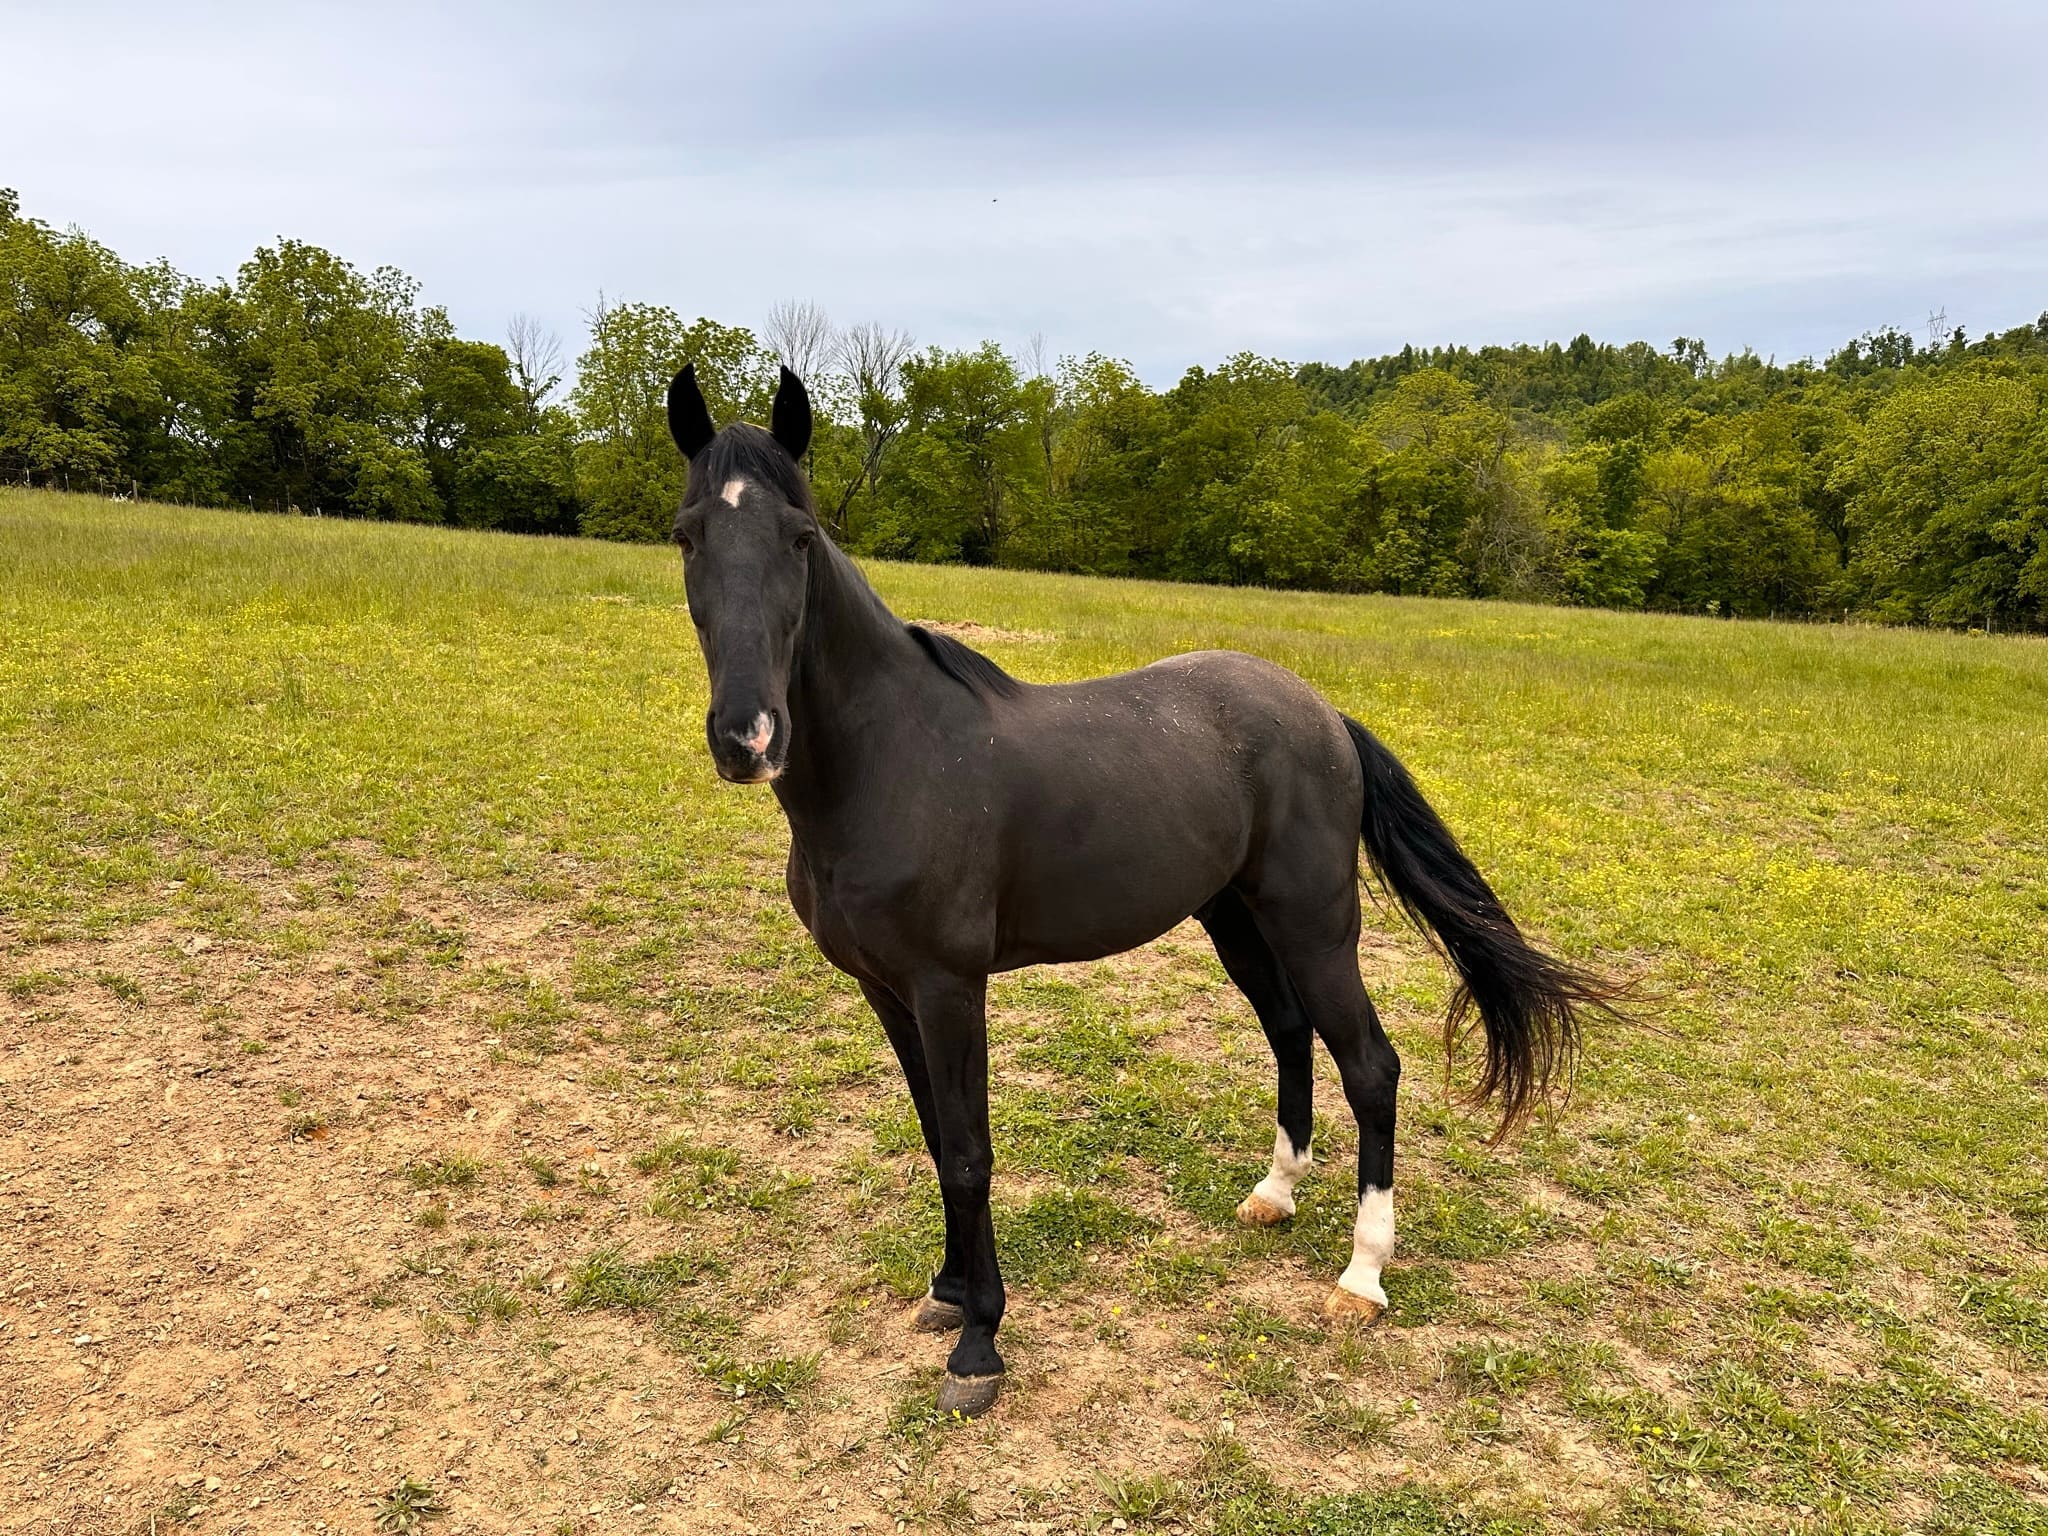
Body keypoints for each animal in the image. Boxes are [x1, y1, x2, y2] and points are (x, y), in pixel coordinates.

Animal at [663, 363, 1618, 1418]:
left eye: (800, 537)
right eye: (687, 534)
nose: (747, 737)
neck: (893, 758)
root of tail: (1322, 713)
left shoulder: (950, 988)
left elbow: (969, 1150)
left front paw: (980, 1343)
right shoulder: (885, 989)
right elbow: (936, 1140)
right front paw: (948, 1292)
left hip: (1316, 927)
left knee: (1370, 1065)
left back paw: (1363, 1277)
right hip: (1236, 921)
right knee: (1290, 1035)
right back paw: (1274, 1195)